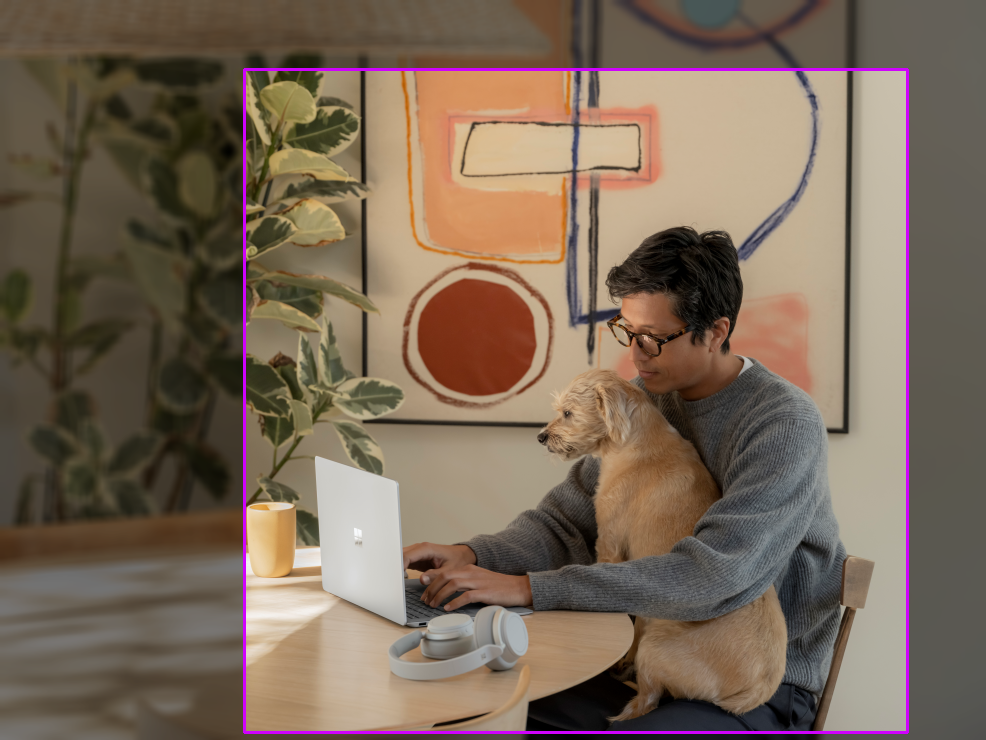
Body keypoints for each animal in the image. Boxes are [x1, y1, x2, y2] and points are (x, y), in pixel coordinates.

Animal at [540, 370, 784, 724]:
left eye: (568, 413)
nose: (541, 436)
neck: (635, 440)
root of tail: (757, 692)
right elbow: (637, 621)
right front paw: (623, 658)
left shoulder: (610, 545)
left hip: (656, 649)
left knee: (648, 700)